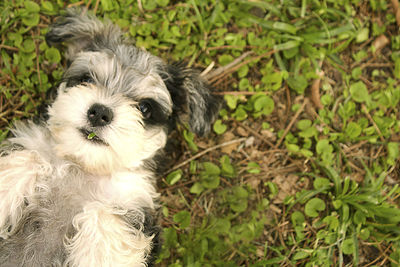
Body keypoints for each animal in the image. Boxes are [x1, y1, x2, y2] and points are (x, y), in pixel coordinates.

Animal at [0, 8, 219, 267]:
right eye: (86, 79)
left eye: (145, 108)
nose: (99, 113)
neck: (82, 168)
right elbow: (30, 157)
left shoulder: (131, 202)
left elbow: (104, 212)